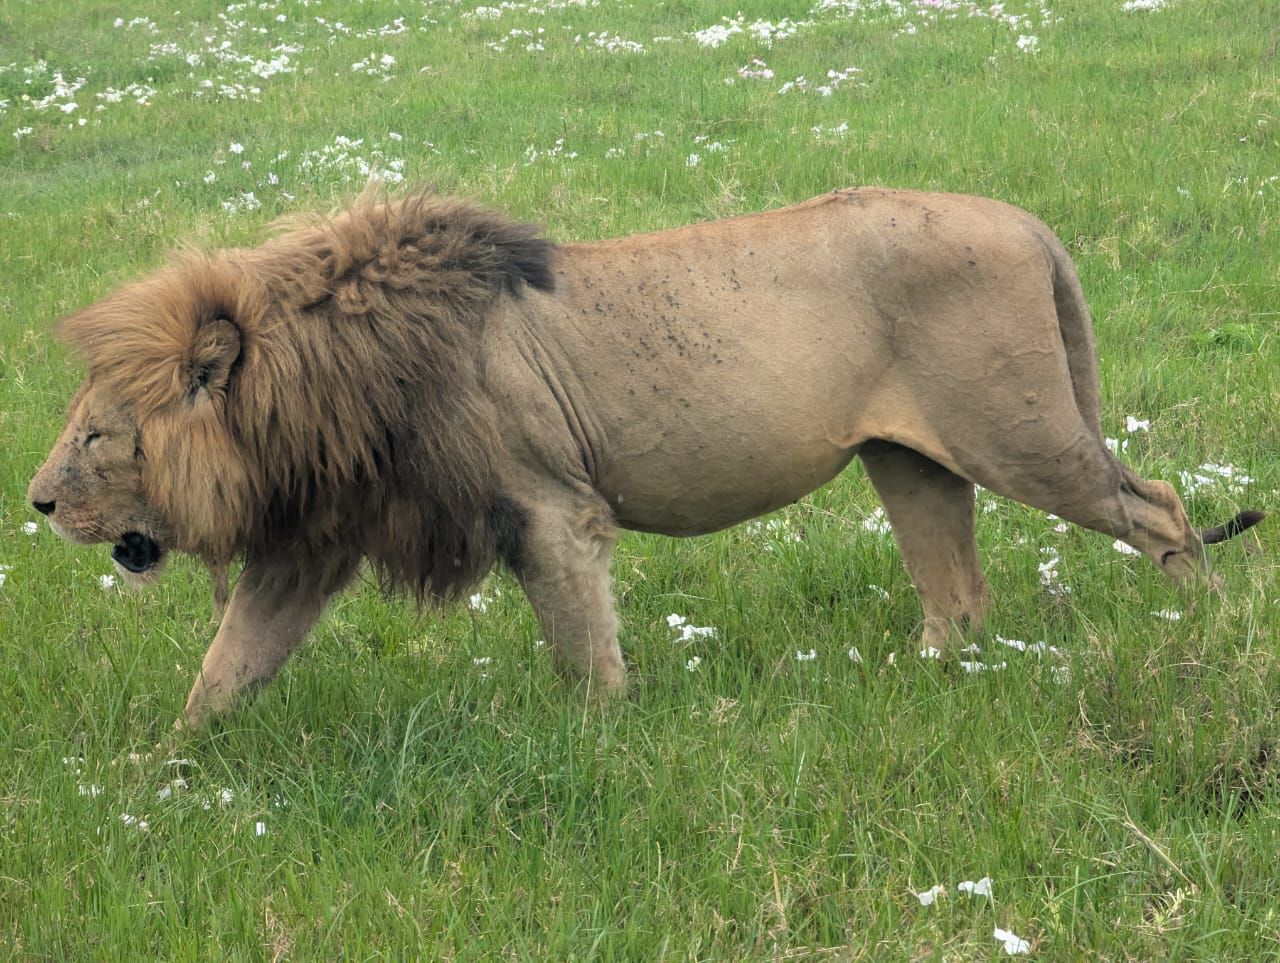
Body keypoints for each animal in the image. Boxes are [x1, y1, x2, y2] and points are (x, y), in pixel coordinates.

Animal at [28, 187, 1262, 729]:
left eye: (94, 436)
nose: (36, 504)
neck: (316, 390)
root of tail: (1024, 218)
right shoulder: (312, 542)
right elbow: (227, 667)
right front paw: (161, 780)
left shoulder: (546, 508)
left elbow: (584, 652)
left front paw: (604, 746)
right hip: (908, 462)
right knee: (957, 597)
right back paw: (912, 684)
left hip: (1020, 437)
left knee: (1158, 506)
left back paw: (1202, 630)